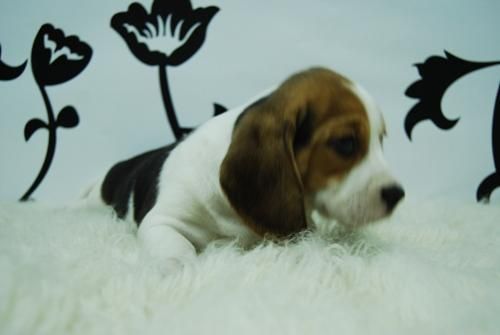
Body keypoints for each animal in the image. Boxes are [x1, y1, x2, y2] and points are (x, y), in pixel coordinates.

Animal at [88, 68, 404, 266]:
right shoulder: (163, 220)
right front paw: (177, 269)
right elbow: (176, 248)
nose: (397, 195)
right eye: (346, 143)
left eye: (380, 141)